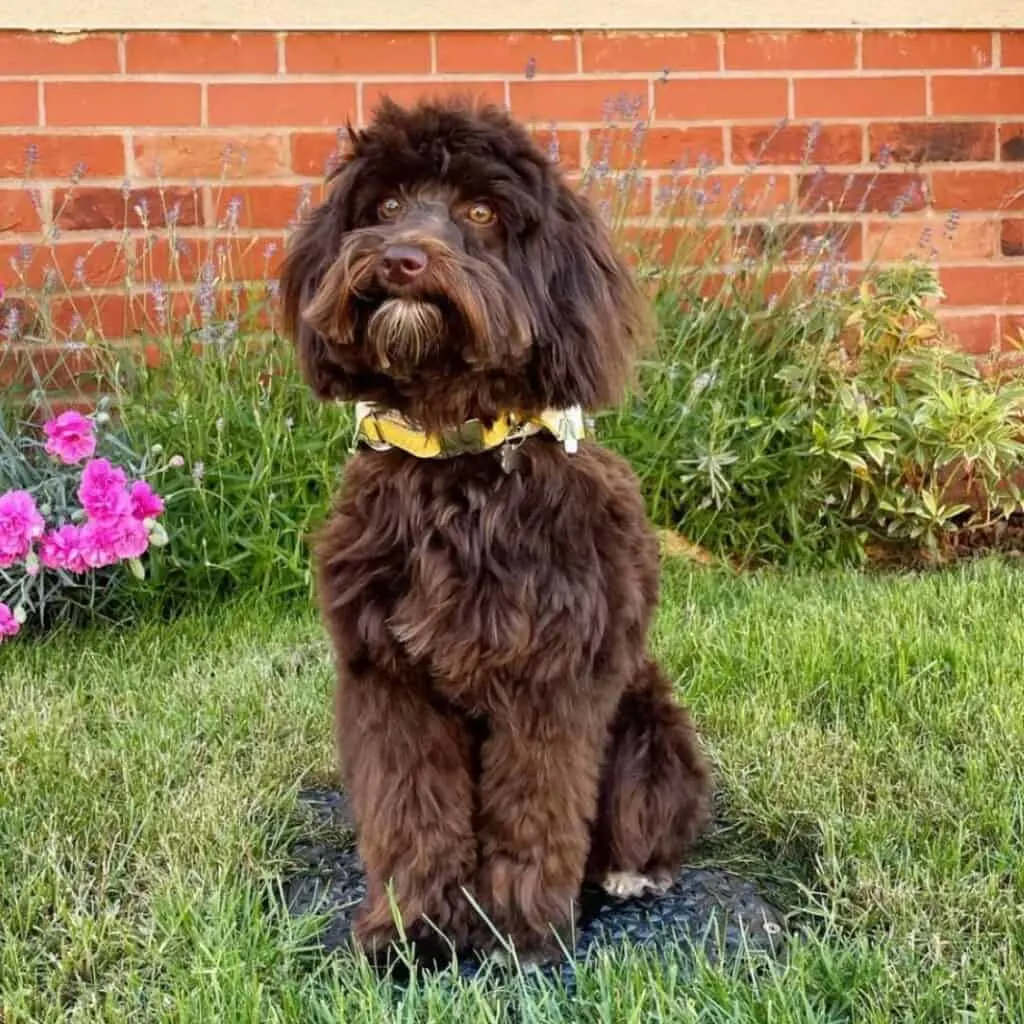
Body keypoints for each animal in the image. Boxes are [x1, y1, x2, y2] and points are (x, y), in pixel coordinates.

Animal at [278, 94, 712, 966]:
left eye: (480, 212)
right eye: (384, 206)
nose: (402, 261)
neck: (454, 458)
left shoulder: (549, 677)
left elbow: (535, 810)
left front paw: (519, 932)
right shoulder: (390, 679)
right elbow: (411, 812)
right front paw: (412, 928)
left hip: (649, 725)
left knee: (642, 816)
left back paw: (630, 873)